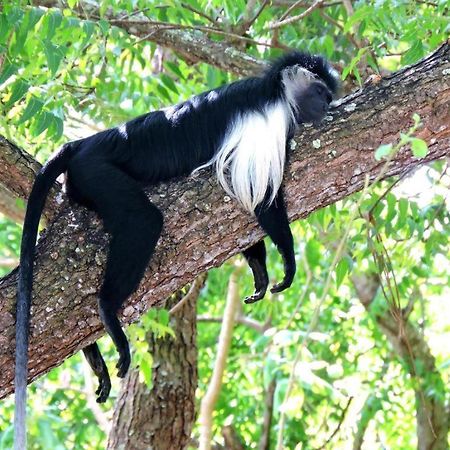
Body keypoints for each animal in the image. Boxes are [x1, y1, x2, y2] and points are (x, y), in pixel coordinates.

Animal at [13, 50, 338, 446]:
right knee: (143, 220)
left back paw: (91, 351)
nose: (329, 104)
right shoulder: (267, 124)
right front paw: (286, 263)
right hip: (97, 170)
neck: (276, 91)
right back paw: (108, 310)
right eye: (320, 91)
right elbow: (260, 198)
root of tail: (84, 142)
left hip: (82, 186)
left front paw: (259, 273)